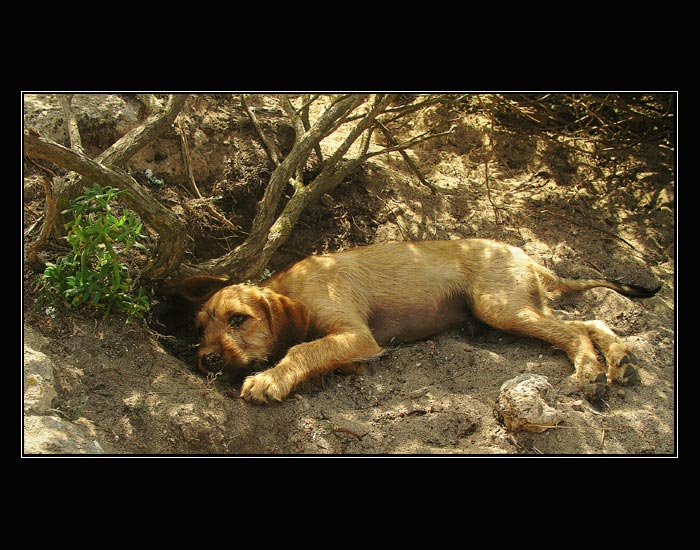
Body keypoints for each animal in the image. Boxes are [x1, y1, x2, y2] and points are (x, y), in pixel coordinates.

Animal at [178, 238, 660, 406]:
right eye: (199, 329)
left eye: (238, 319)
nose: (207, 361)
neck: (291, 288)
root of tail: (524, 254)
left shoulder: (357, 335)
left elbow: (303, 348)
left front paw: (269, 379)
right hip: (520, 304)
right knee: (592, 319)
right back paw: (618, 359)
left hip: (500, 306)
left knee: (575, 329)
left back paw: (590, 370)